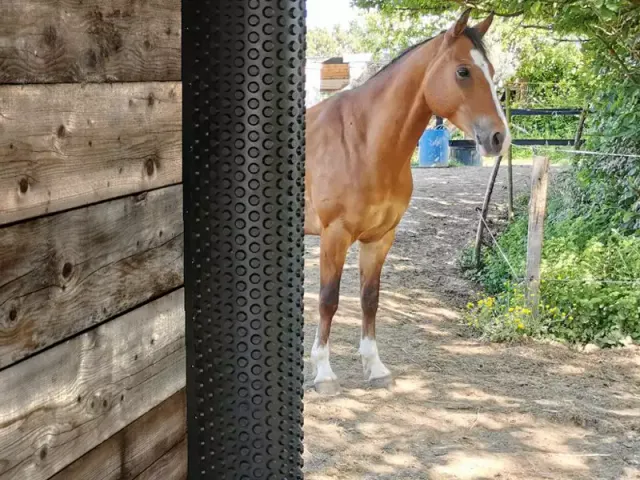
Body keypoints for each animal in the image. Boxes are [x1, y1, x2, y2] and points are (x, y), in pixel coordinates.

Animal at [304, 9, 511, 395]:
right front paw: (323, 373)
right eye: (463, 71)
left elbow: (370, 299)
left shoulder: (381, 237)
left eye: (490, 71)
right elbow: (328, 299)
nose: (498, 138)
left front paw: (375, 367)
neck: (362, 141)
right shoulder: (334, 234)